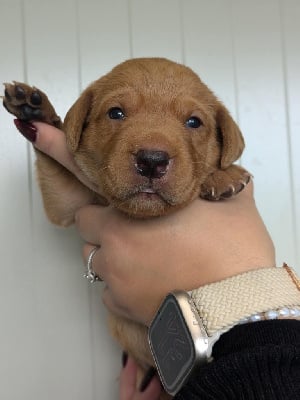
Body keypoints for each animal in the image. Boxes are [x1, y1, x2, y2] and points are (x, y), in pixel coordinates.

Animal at [2, 57, 251, 396]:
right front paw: (37, 113)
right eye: (116, 113)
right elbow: (57, 167)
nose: (152, 160)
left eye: (194, 122)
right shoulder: (69, 203)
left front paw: (224, 175)